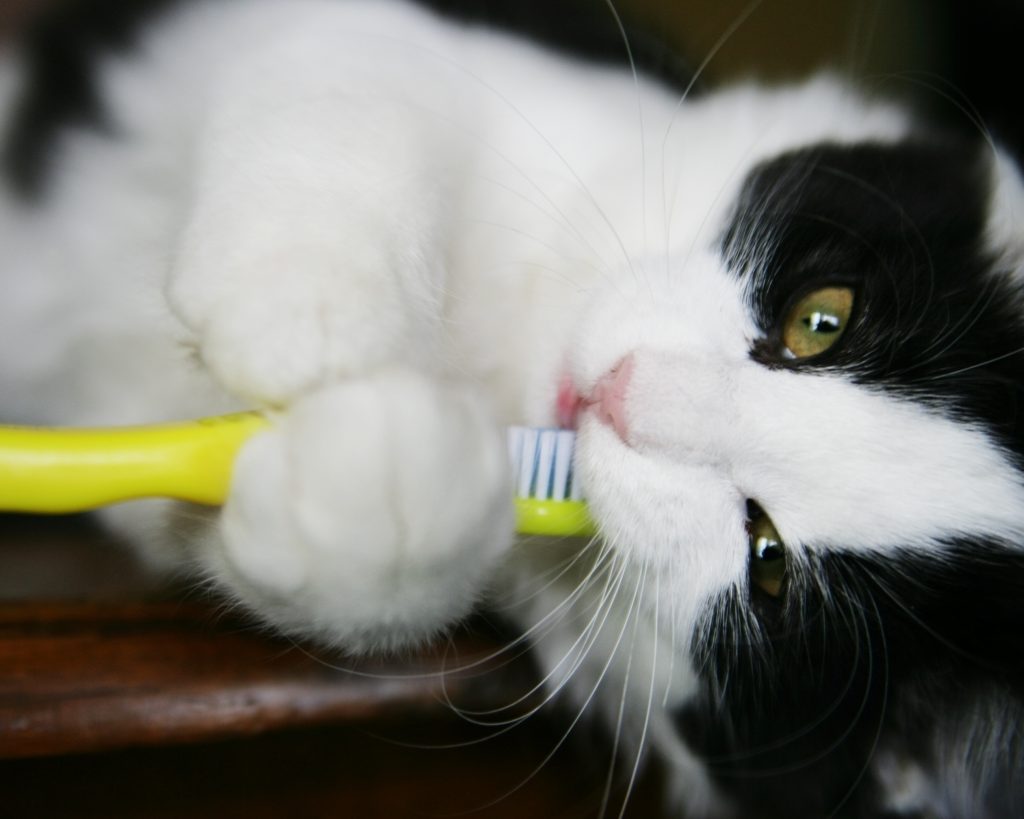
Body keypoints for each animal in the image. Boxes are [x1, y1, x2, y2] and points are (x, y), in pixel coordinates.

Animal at [2, 0, 1024, 814]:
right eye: (821, 319)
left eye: (768, 563)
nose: (623, 394)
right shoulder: (406, 42)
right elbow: (356, 86)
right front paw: (303, 309)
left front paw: (376, 478)